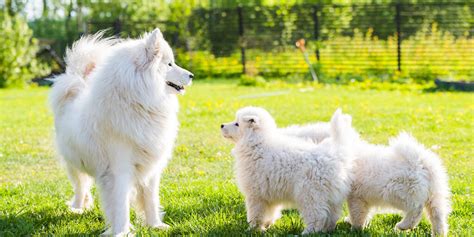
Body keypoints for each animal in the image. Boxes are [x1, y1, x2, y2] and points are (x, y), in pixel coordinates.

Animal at [49, 28, 193, 235]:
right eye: (169, 64)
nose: (192, 75)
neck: (139, 103)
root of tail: (76, 84)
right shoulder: (119, 170)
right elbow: (120, 205)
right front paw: (122, 232)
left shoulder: (151, 168)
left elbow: (151, 199)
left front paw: (155, 225)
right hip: (73, 163)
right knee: (80, 186)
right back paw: (77, 207)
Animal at [221, 108, 356, 234]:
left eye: (237, 124)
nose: (221, 125)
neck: (257, 143)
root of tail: (335, 154)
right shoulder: (269, 194)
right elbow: (270, 213)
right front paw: (267, 225)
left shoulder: (255, 195)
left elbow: (255, 214)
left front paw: (253, 229)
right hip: (331, 197)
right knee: (332, 215)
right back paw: (327, 230)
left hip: (310, 193)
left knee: (318, 215)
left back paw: (308, 232)